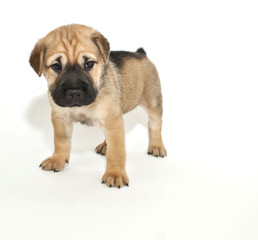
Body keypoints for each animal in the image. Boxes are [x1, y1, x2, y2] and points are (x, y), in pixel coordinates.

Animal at [29, 24, 166, 189]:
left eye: (89, 64)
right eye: (56, 66)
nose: (74, 92)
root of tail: (141, 54)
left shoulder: (112, 120)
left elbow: (116, 152)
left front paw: (115, 174)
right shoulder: (61, 119)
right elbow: (60, 142)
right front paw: (57, 159)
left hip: (153, 102)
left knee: (154, 125)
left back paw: (157, 146)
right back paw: (105, 146)